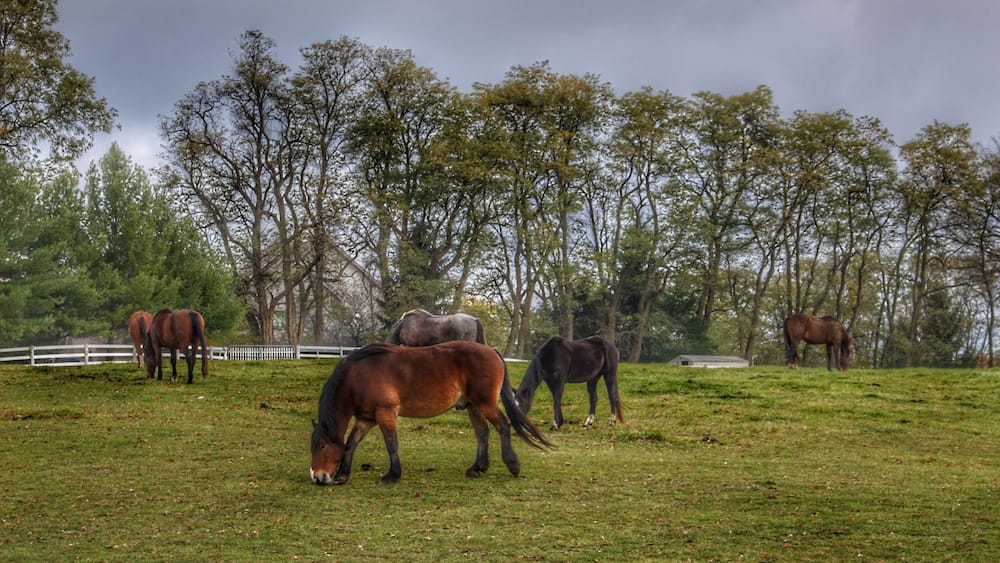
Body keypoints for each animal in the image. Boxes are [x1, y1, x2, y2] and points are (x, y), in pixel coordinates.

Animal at [310, 341, 553, 485]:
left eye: (321, 446)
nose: (317, 477)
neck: (358, 376)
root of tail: (491, 350)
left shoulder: (385, 413)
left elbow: (391, 443)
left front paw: (393, 474)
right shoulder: (366, 418)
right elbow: (351, 443)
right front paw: (343, 474)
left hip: (485, 403)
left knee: (503, 425)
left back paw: (512, 465)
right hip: (473, 406)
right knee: (482, 433)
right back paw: (477, 468)